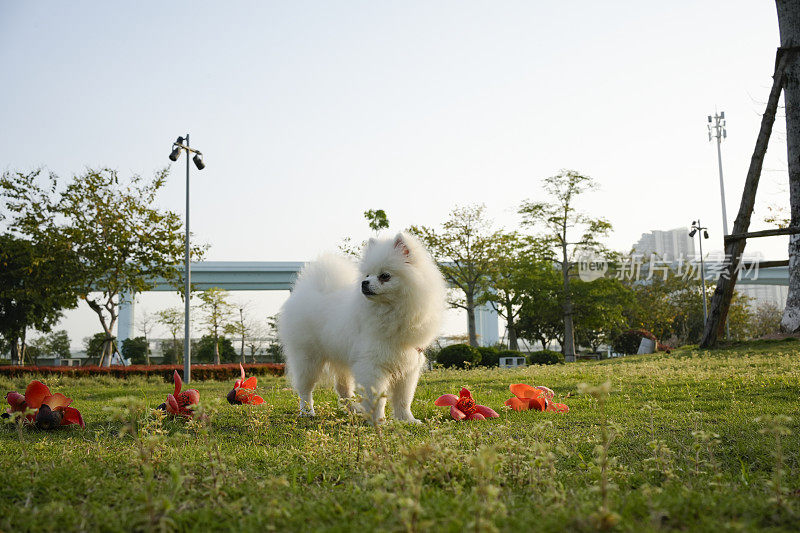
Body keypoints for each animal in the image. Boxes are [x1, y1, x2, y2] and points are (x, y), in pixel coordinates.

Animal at [278, 233, 446, 424]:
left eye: (384, 276)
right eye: (367, 275)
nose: (364, 283)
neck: (391, 311)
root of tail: (307, 289)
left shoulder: (407, 366)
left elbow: (403, 399)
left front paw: (407, 420)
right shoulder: (371, 365)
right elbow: (376, 399)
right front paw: (378, 421)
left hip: (341, 359)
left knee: (342, 388)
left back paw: (354, 410)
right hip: (308, 358)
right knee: (305, 388)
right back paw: (307, 411)